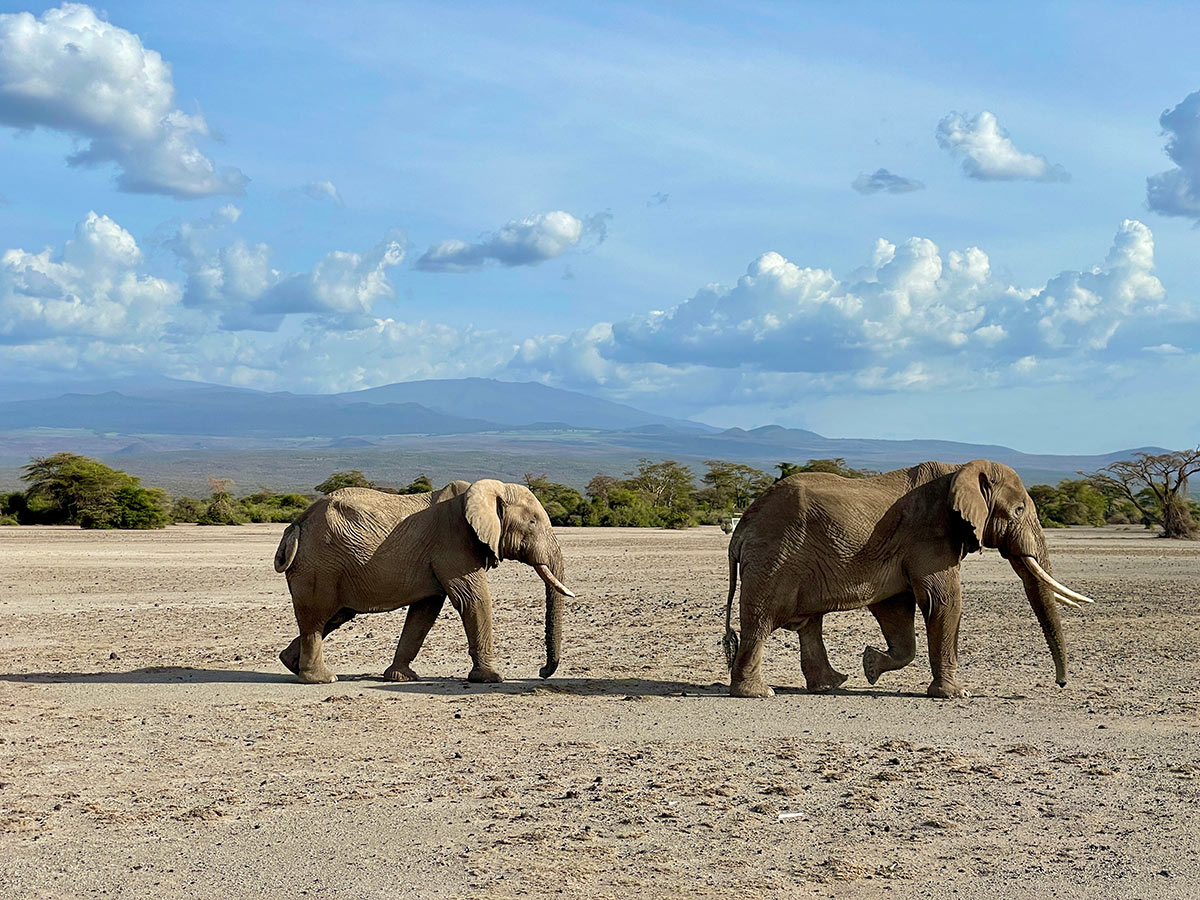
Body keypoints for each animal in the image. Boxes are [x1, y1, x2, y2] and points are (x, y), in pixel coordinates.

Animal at [274, 482, 573, 686]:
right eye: (532, 522)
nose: (542, 672)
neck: (484, 490)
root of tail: (295, 524)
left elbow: (425, 612)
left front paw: (401, 677)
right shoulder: (454, 544)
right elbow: (473, 600)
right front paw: (491, 678)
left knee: (334, 617)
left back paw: (290, 663)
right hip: (320, 565)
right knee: (317, 618)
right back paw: (322, 679)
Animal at [720, 460, 1099, 700]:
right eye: (1019, 510)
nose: (1061, 683)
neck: (960, 471)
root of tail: (740, 530)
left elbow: (895, 609)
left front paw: (870, 666)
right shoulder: (929, 537)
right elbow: (944, 601)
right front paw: (956, 694)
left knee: (808, 624)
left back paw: (831, 685)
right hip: (774, 559)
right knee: (761, 621)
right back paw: (759, 693)